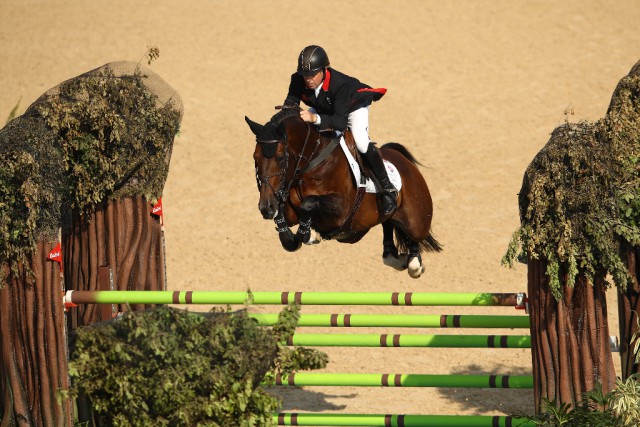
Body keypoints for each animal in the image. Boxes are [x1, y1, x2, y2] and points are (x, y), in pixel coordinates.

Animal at [242, 108, 442, 280]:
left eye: (280, 157)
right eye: (255, 158)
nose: (266, 208)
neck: (313, 161)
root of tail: (404, 162)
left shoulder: (341, 210)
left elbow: (309, 203)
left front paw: (308, 233)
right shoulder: (291, 210)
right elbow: (286, 219)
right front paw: (296, 232)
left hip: (416, 219)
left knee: (414, 237)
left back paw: (414, 262)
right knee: (388, 223)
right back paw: (393, 255)